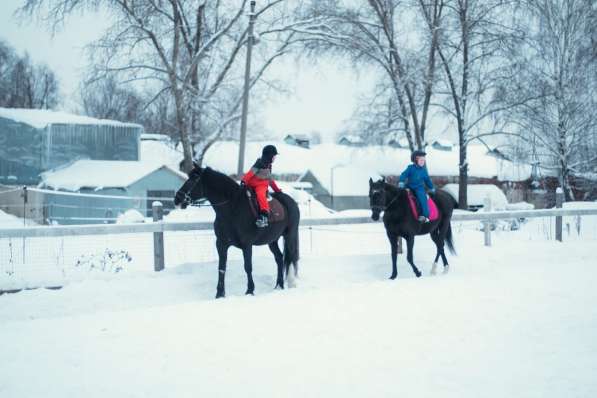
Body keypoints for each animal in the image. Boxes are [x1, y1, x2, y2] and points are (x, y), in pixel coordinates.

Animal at [175, 165, 300, 298]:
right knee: (279, 258)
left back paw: (291, 283)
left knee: (292, 258)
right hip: (272, 240)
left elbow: (248, 267)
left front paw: (250, 290)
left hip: (290, 236)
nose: (177, 199)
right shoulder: (221, 244)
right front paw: (220, 294)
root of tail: (292, 202)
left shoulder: (247, 245)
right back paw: (279, 285)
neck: (233, 209)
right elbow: (221, 267)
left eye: (193, 179)